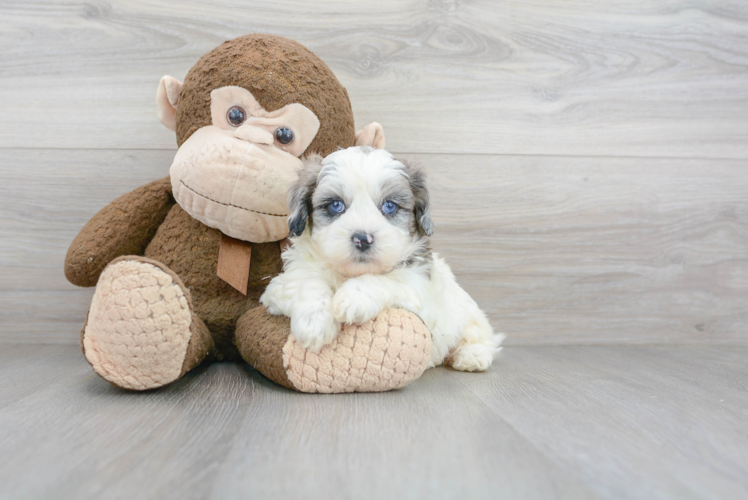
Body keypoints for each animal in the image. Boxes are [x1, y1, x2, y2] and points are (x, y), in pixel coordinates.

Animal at [260, 146, 506, 372]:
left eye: (389, 206)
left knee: (482, 335)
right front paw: (314, 323)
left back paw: (471, 355)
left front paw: (354, 297)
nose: (362, 239)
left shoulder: (416, 283)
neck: (349, 272)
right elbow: (309, 282)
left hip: (468, 314)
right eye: (335, 205)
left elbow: (386, 279)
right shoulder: (285, 282)